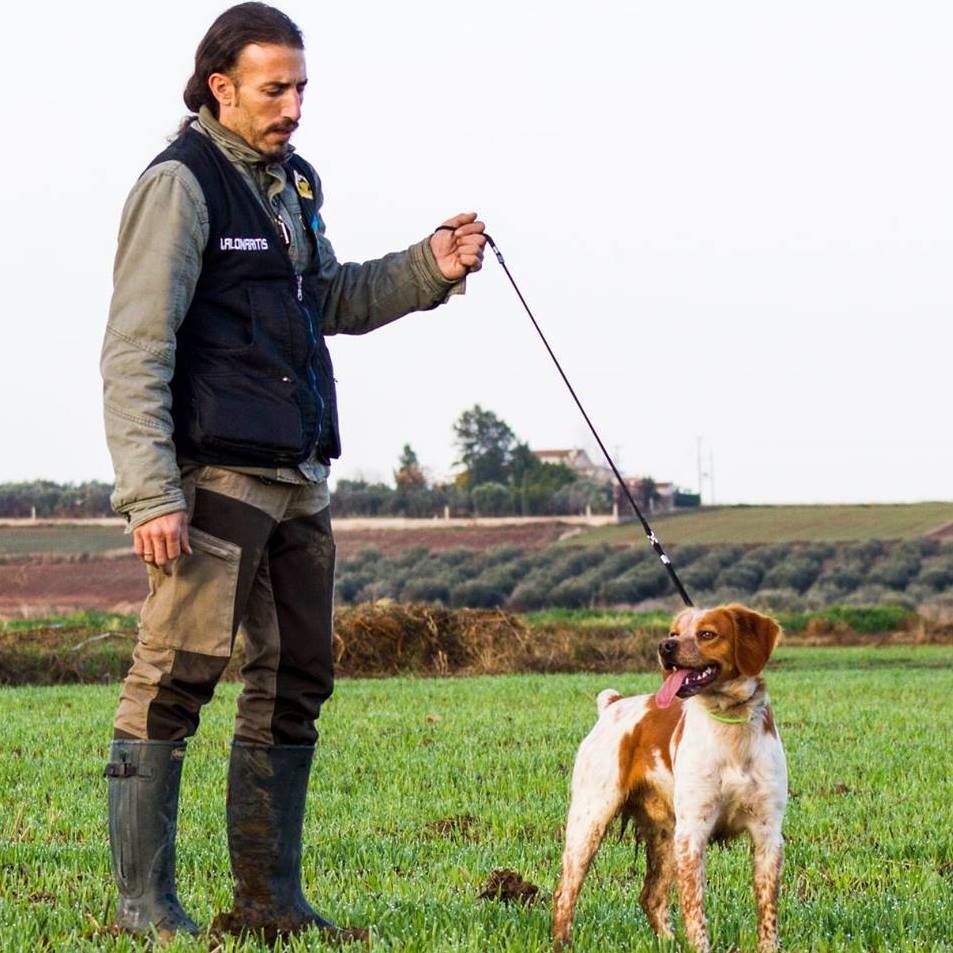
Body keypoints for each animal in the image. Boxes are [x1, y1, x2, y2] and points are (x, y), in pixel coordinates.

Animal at [556, 604, 784, 952]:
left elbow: (767, 912)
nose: (665, 646)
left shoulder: (768, 833)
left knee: (650, 896)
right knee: (565, 892)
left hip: (664, 833)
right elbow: (695, 910)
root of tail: (612, 705)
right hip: (590, 821)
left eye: (707, 634)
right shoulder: (692, 833)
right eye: (674, 633)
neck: (731, 727)